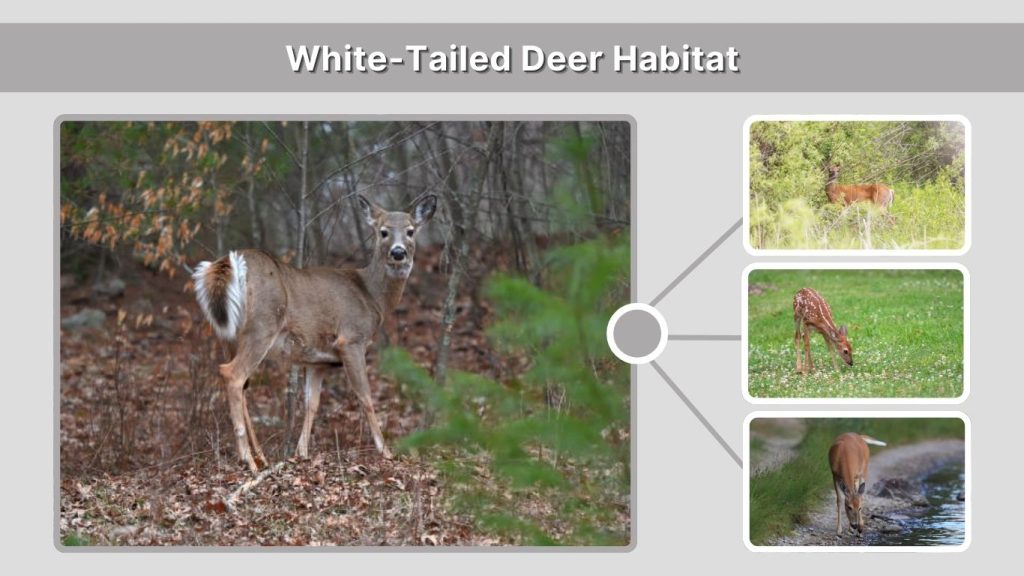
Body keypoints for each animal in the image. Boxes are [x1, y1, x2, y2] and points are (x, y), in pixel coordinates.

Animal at [192, 193, 437, 472]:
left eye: (410, 231)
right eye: (383, 231)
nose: (398, 252)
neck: (372, 296)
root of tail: (227, 263)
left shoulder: (317, 360)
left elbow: (312, 404)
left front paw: (301, 453)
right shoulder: (351, 339)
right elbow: (365, 396)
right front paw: (386, 451)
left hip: (229, 335)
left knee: (242, 383)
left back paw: (261, 457)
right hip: (263, 324)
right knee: (232, 374)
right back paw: (249, 460)